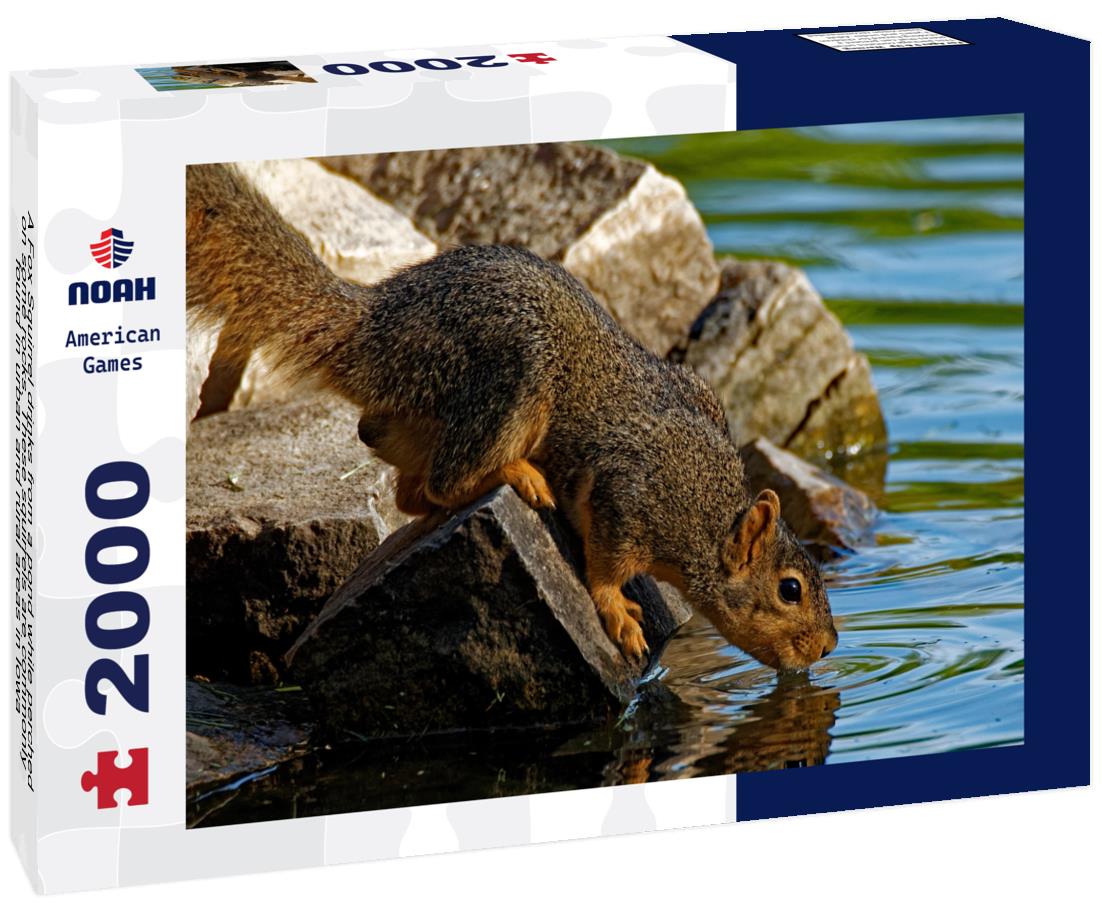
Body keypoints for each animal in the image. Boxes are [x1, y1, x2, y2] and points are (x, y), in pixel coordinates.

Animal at [186, 161, 837, 671]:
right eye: (790, 590)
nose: (829, 647)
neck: (704, 511)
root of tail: (375, 330)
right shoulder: (629, 494)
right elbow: (606, 565)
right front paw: (620, 613)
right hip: (513, 374)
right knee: (445, 480)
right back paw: (514, 475)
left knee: (407, 487)